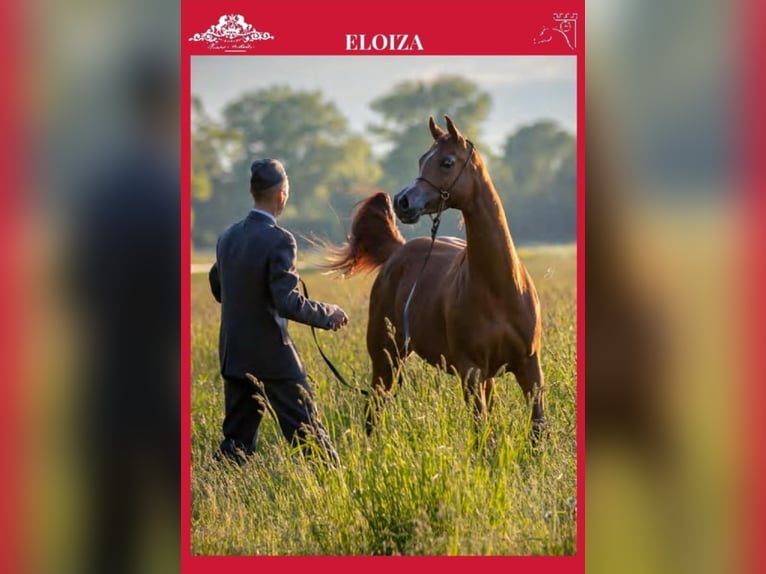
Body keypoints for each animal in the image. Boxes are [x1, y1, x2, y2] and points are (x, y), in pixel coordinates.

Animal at [326, 116, 546, 440]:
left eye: (446, 162)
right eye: (421, 160)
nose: (402, 201)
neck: (499, 288)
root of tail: (399, 250)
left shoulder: (529, 367)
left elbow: (537, 430)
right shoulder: (470, 371)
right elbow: (482, 434)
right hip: (385, 357)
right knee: (375, 406)